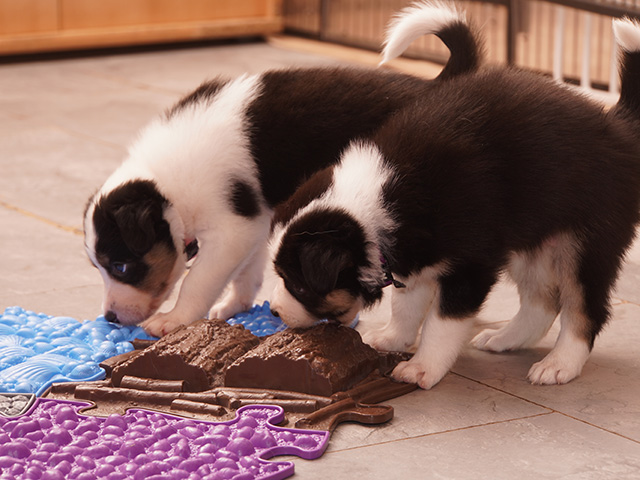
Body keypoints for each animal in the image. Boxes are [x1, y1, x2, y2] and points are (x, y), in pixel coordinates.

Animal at [83, 2, 482, 336]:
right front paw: (234, 306)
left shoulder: (232, 227)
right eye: (98, 267)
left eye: (120, 267)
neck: (170, 187)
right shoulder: (256, 222)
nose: (110, 318)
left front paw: (175, 320)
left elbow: (199, 280)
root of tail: (444, 84)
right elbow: (247, 271)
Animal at [269, 17, 640, 389]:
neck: (386, 197)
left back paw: (559, 365)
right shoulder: (412, 258)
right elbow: (406, 304)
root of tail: (618, 129)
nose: (273, 311)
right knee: (543, 300)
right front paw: (391, 338)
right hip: (530, 240)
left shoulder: (471, 264)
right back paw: (503, 339)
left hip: (587, 243)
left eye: (298, 285)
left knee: (584, 308)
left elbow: (442, 323)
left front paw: (422, 368)